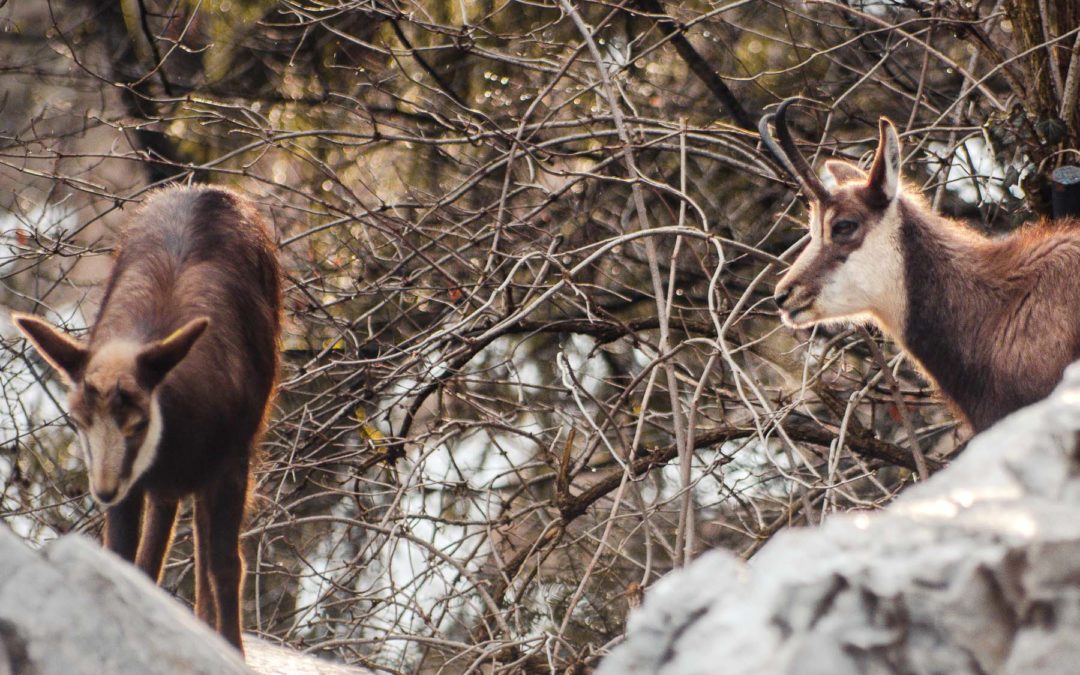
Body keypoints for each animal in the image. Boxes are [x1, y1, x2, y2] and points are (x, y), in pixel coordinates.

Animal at [12, 185, 282, 653]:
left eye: (137, 422)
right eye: (78, 421)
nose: (102, 491)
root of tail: (206, 189)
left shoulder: (232, 463)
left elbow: (226, 565)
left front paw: (233, 649)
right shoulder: (138, 484)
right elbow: (125, 559)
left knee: (203, 554)